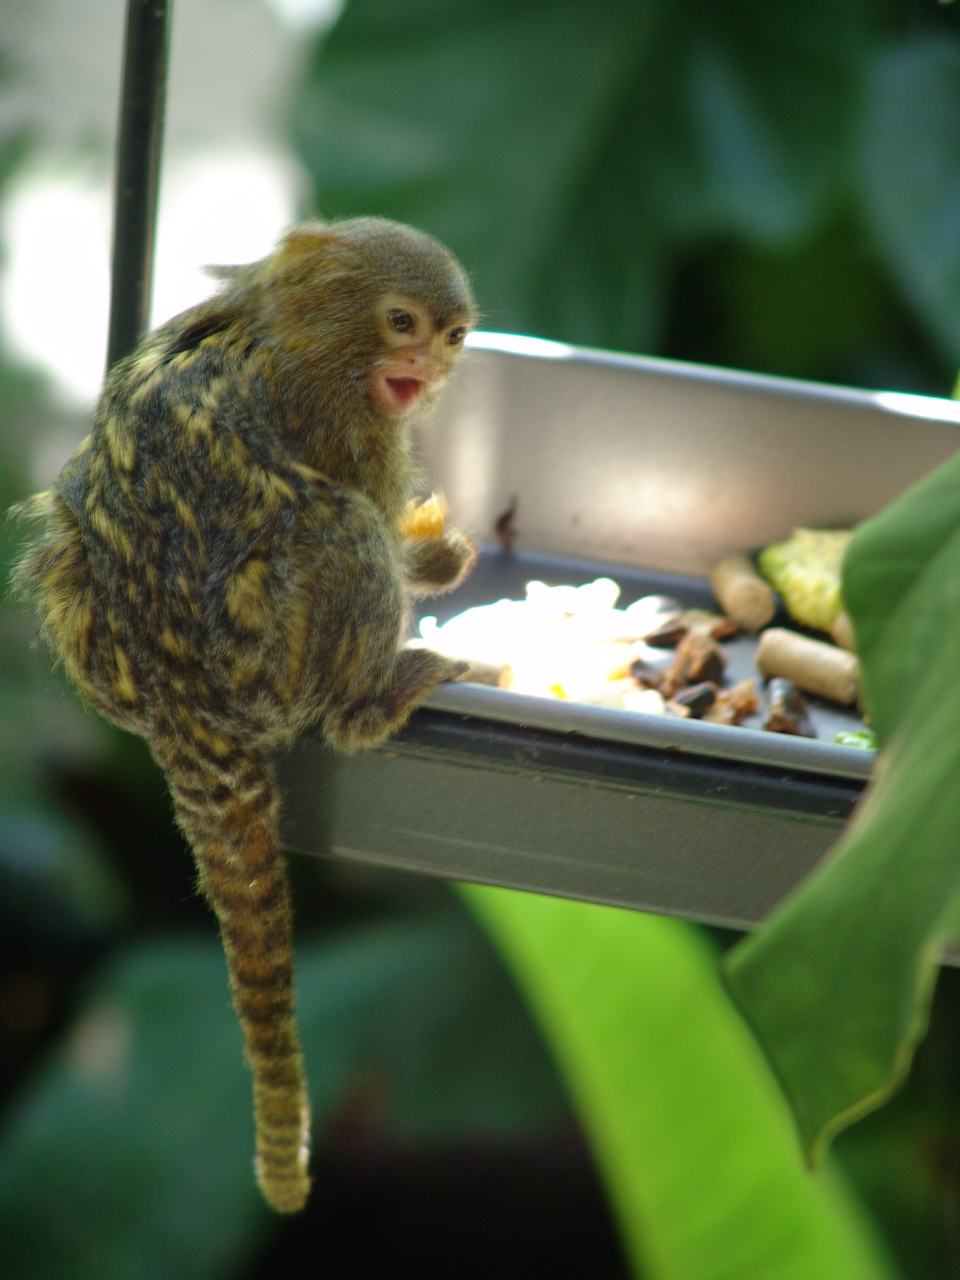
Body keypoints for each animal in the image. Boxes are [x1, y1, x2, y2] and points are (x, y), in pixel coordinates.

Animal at [11, 217, 478, 1214]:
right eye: (401, 321)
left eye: (453, 335)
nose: (426, 363)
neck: (281, 331)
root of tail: (182, 703)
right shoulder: (340, 419)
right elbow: (376, 514)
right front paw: (438, 555)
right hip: (275, 654)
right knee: (341, 530)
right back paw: (378, 698)